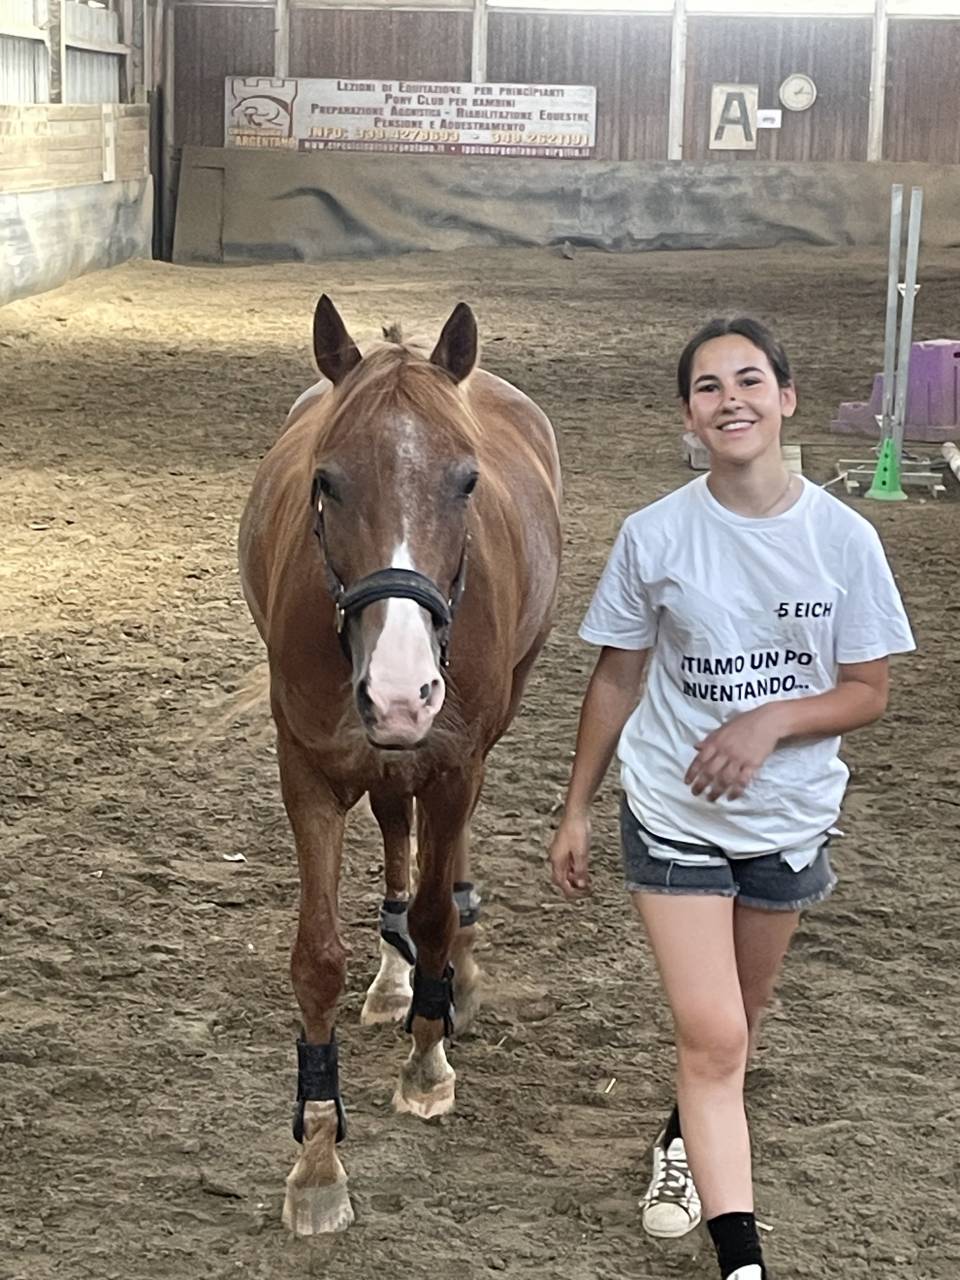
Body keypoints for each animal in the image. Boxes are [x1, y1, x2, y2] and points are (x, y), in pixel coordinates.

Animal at [237, 296, 562, 1234]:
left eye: (467, 481)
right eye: (326, 481)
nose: (399, 692)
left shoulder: (452, 764)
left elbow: (436, 913)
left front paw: (428, 1060)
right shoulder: (307, 772)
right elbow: (316, 958)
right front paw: (317, 1159)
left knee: (446, 866)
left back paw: (452, 980)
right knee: (392, 827)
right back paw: (393, 980)